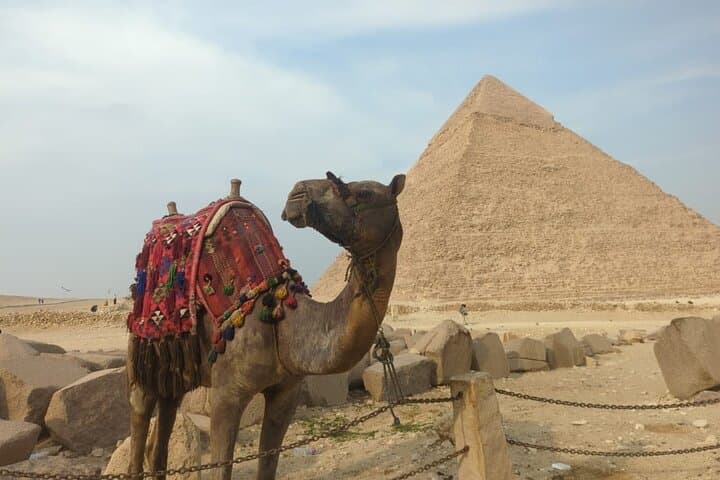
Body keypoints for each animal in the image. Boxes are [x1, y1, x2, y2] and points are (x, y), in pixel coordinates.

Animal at [127, 171, 405, 479]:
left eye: (365, 193)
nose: (298, 193)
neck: (280, 323)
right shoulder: (226, 394)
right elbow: (222, 466)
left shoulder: (286, 393)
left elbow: (269, 459)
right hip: (141, 350)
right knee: (140, 410)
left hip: (175, 368)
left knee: (164, 419)